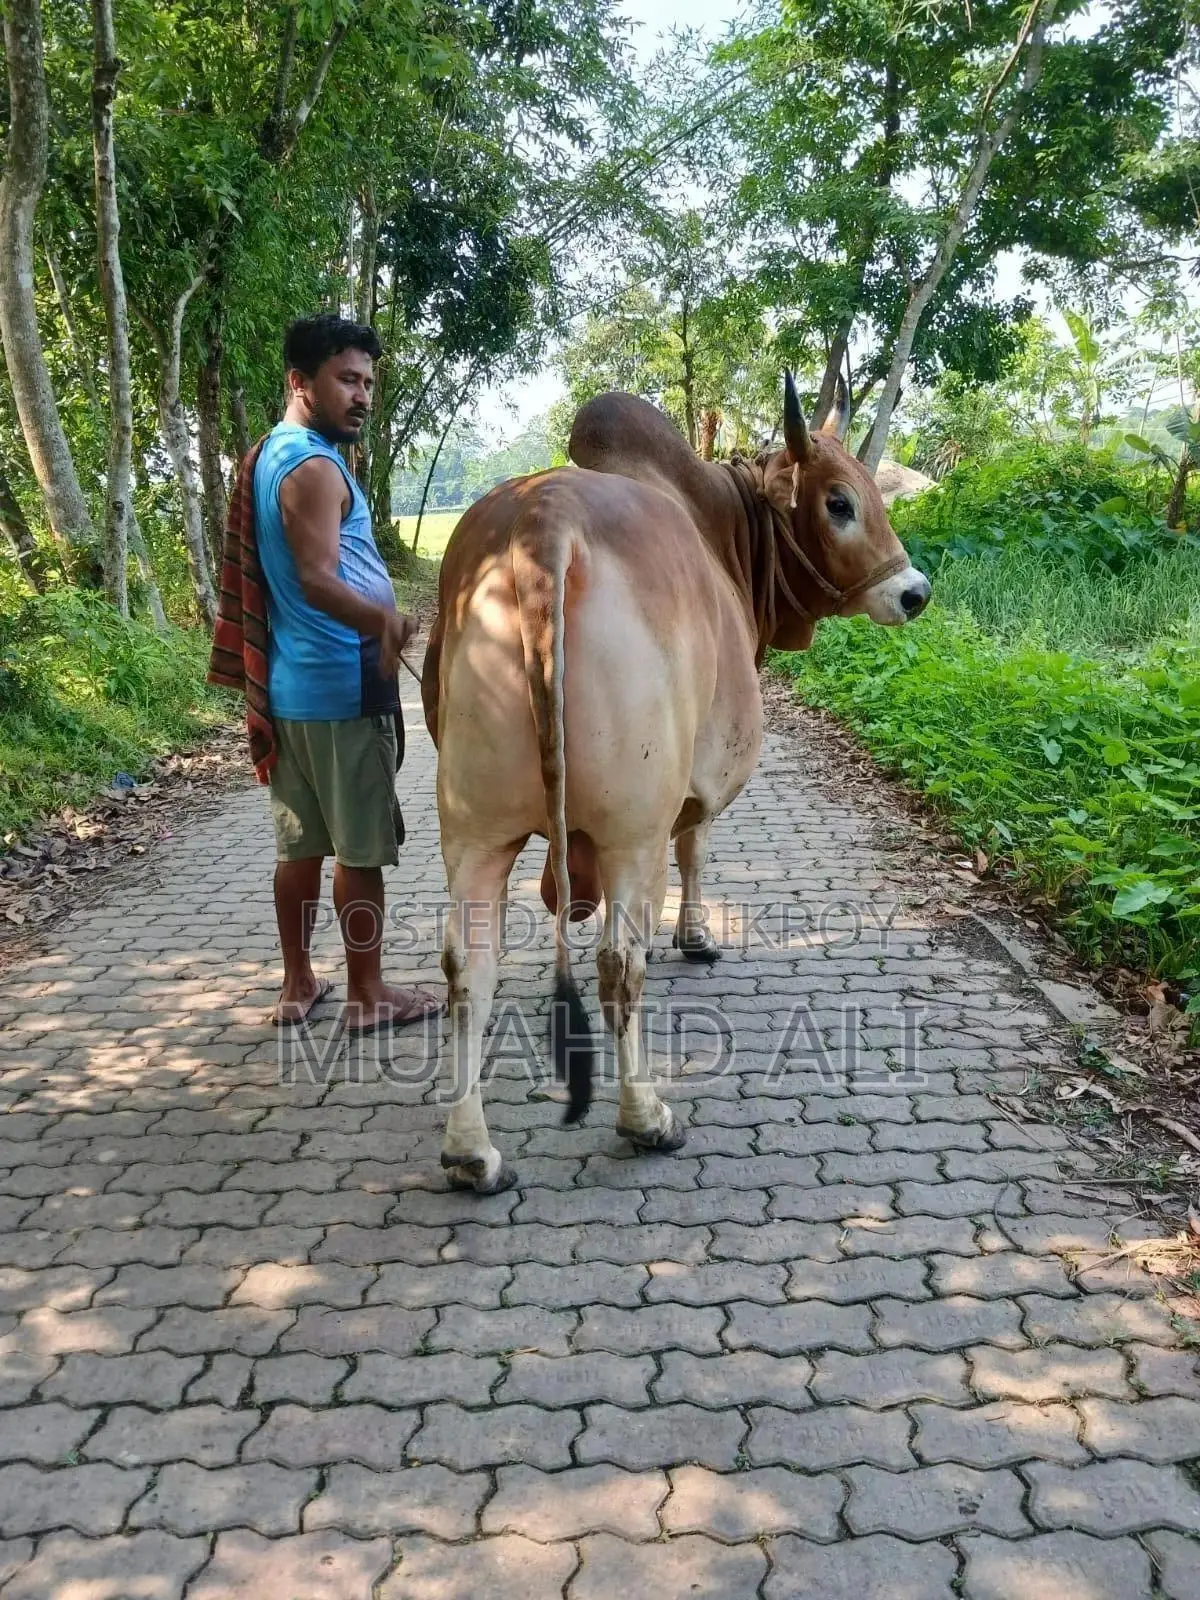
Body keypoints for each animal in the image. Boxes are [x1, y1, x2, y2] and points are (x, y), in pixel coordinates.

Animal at [419, 375, 930, 1194]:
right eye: (840, 502)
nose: (916, 592)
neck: (725, 528)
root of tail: (543, 526)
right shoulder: (700, 785)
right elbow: (695, 852)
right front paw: (692, 938)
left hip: (475, 831)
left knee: (469, 968)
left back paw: (472, 1153)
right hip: (629, 830)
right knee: (615, 967)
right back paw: (646, 1117)